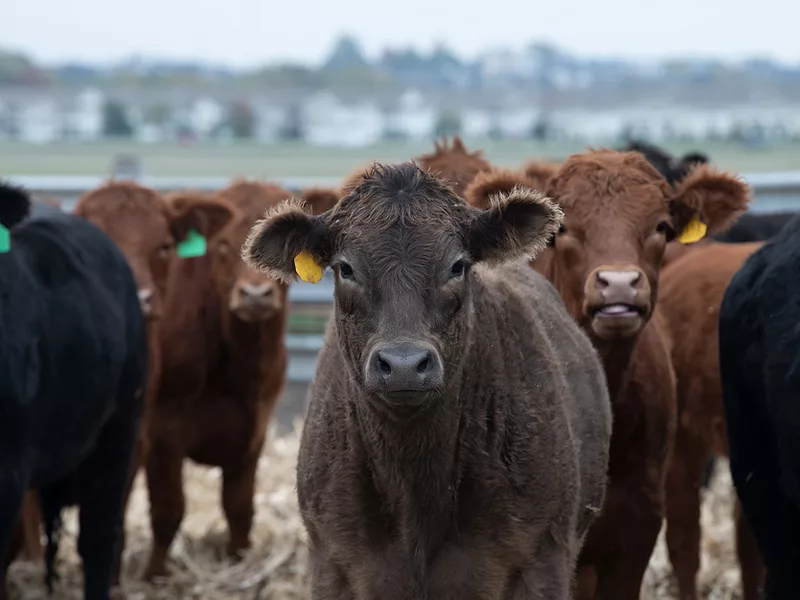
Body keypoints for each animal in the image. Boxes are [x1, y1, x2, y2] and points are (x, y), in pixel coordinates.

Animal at [142, 179, 293, 580]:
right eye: (224, 244)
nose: (255, 295)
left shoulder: (252, 434)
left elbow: (239, 509)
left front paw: (240, 564)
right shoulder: (163, 436)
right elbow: (168, 511)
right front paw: (154, 576)